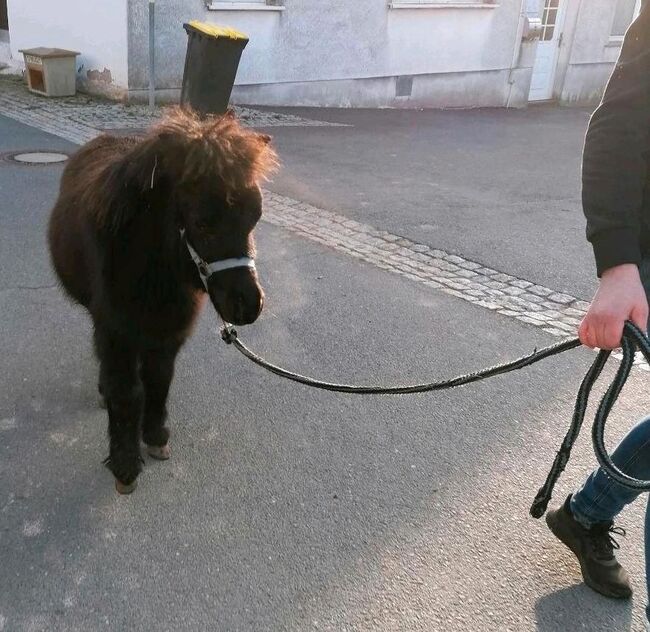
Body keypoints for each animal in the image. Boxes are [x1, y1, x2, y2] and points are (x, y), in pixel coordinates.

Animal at [47, 107, 276, 494]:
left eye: (255, 217)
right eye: (202, 222)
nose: (249, 306)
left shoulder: (169, 332)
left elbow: (159, 380)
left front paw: (154, 436)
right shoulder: (116, 331)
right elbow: (126, 391)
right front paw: (125, 466)